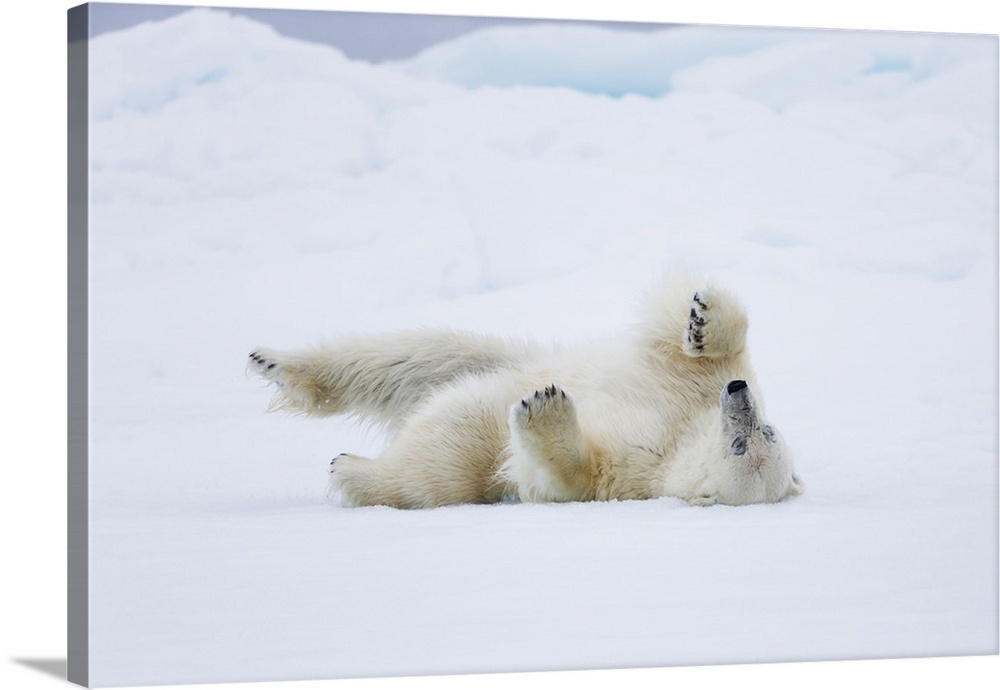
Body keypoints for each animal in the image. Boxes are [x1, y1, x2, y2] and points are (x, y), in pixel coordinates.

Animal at [248, 274, 804, 506]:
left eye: (748, 443)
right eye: (768, 431)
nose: (738, 396)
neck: (683, 436)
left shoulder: (635, 471)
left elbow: (567, 475)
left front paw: (545, 408)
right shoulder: (685, 387)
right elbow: (694, 349)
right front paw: (702, 320)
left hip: (469, 441)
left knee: (438, 462)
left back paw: (352, 469)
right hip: (498, 355)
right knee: (411, 356)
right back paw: (274, 362)